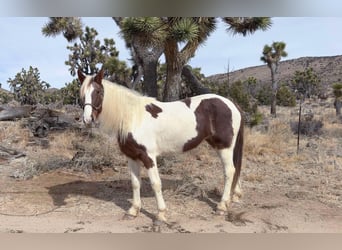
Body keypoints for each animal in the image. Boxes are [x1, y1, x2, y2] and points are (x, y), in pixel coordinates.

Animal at [77, 69, 243, 223]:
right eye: (82, 94)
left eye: (98, 91)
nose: (87, 119)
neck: (133, 117)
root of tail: (231, 104)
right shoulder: (132, 157)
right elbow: (135, 183)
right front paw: (133, 211)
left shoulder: (148, 157)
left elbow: (155, 184)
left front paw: (161, 214)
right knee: (234, 170)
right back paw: (231, 199)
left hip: (224, 147)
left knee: (229, 171)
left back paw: (221, 206)